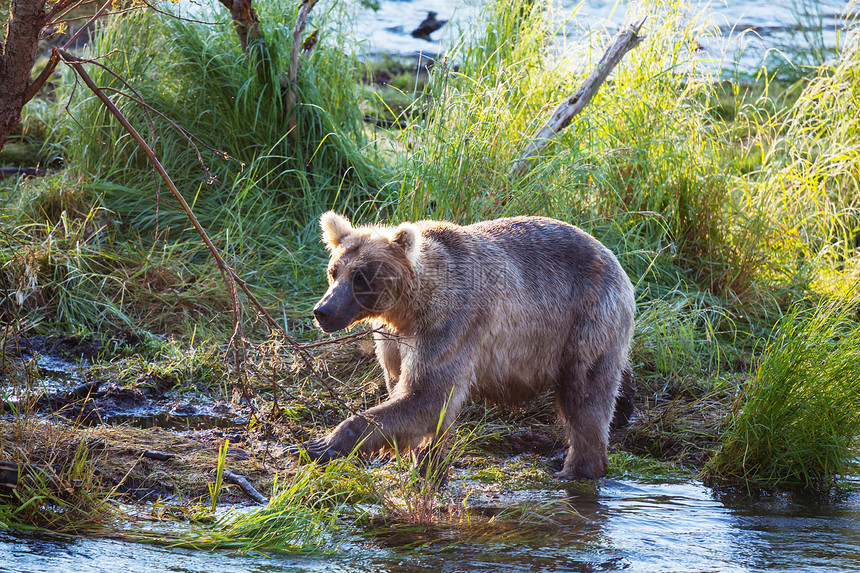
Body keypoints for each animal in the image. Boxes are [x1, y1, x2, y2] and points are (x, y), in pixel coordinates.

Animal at [292, 210, 636, 478]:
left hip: (585, 319)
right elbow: (405, 391)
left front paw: (320, 444)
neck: (409, 310)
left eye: (361, 277)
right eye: (333, 272)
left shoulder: (450, 325)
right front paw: (425, 461)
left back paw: (577, 468)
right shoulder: (393, 341)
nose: (323, 311)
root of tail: (615, 259)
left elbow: (427, 394)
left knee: (585, 396)